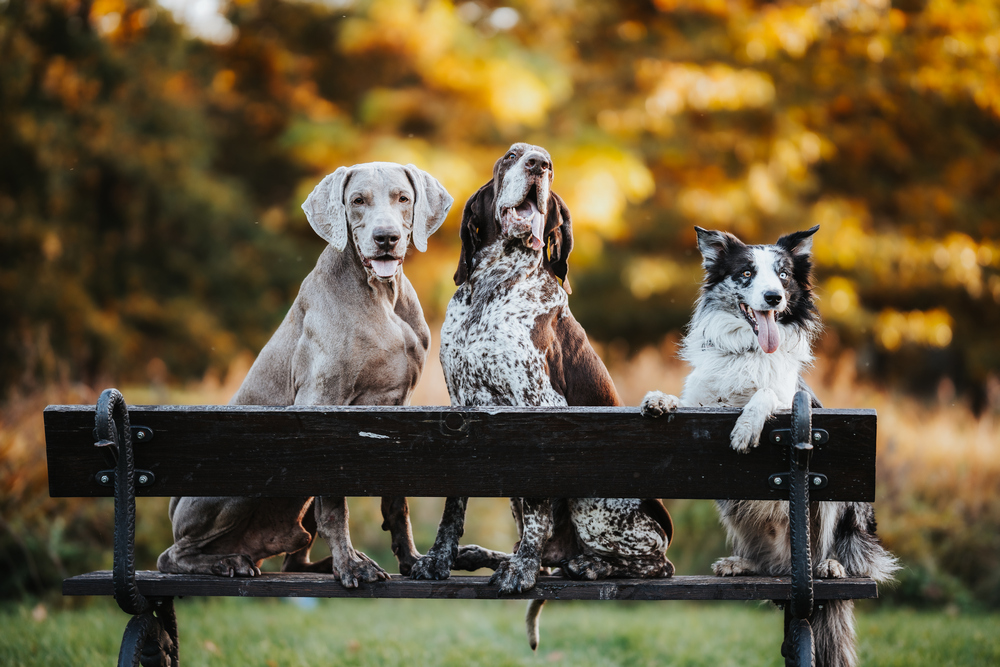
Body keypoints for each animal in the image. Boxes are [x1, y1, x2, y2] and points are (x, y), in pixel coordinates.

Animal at [156, 162, 454, 588]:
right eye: (357, 200)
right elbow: (335, 507)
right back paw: (226, 562)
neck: (380, 295)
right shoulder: (322, 403)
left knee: (292, 559)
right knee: (172, 555)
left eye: (403, 198)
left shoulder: (400, 407)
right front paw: (351, 568)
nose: (387, 238)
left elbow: (397, 501)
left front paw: (412, 561)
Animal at [410, 144, 676, 648]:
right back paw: (484, 555)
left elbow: (537, 507)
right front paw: (439, 557)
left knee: (657, 564)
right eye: (511, 156)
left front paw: (522, 572)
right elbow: (454, 504)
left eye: (545, 162)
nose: (539, 163)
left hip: (599, 507)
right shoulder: (461, 413)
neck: (492, 288)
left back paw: (586, 565)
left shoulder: (539, 408)